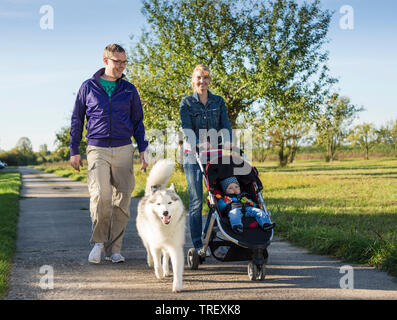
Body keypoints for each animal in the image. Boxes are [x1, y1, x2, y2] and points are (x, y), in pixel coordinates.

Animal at [136, 159, 186, 292]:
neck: (164, 227)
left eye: (169, 202)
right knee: (149, 250)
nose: (165, 212)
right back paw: (151, 262)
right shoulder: (155, 244)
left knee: (166, 255)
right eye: (158, 204)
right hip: (145, 237)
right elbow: (157, 260)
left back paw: (166, 270)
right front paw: (158, 273)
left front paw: (176, 285)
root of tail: (150, 192)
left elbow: (176, 267)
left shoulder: (175, 246)